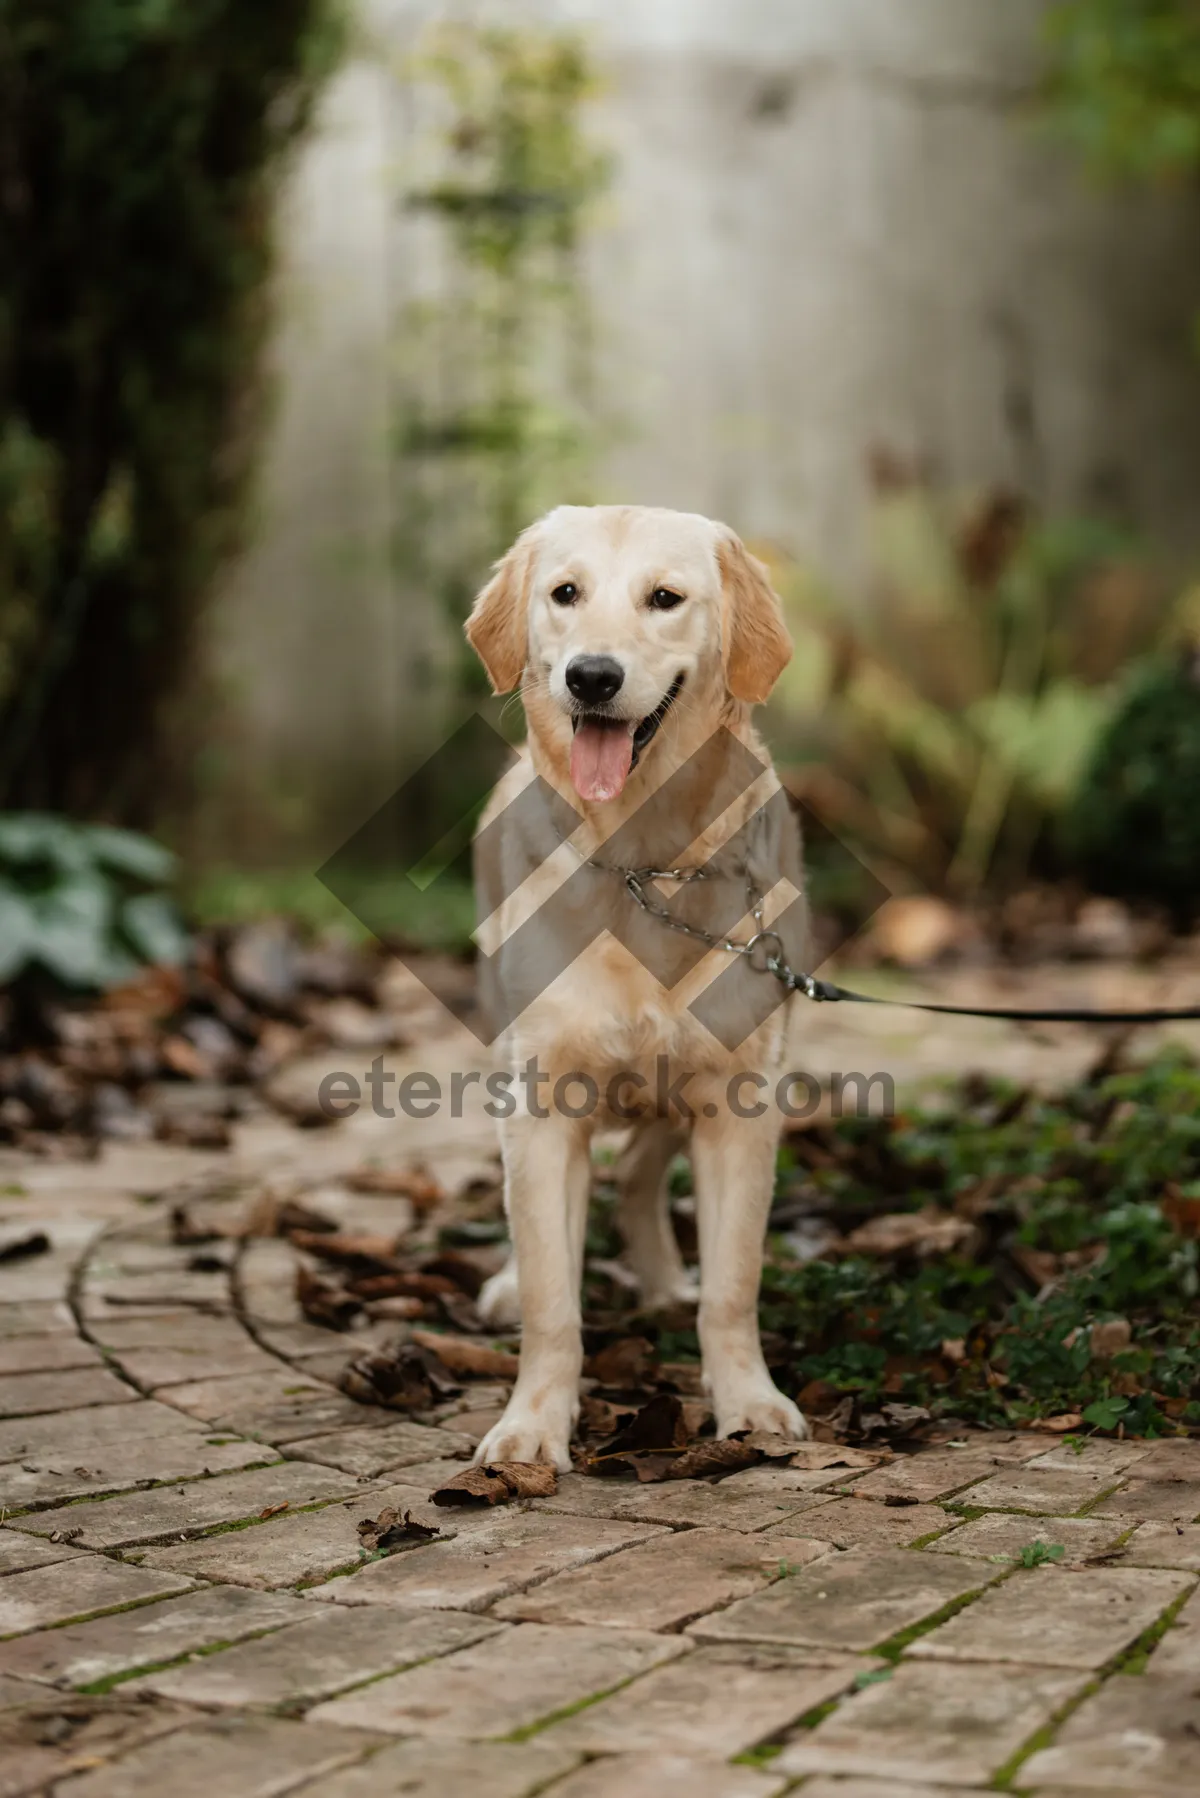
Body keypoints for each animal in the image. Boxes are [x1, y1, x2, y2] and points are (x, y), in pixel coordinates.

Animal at [464, 499, 813, 1467]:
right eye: (564, 593)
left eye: (665, 598)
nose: (591, 676)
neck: (638, 862)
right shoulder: (542, 1101)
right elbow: (551, 1298)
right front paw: (533, 1424)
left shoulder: (740, 1098)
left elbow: (733, 1287)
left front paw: (748, 1401)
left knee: (642, 1175)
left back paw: (661, 1275)